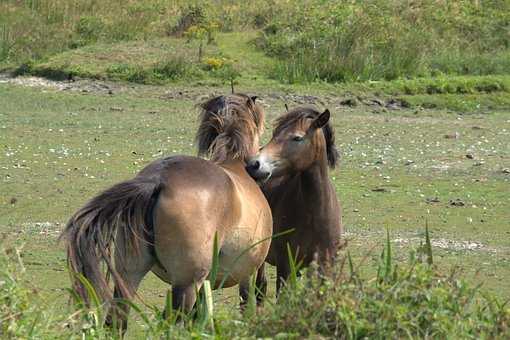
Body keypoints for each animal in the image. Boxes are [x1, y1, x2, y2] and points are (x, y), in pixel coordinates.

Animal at [61, 93, 272, 332]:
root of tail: (158, 180)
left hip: (128, 276)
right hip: (186, 285)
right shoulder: (251, 273)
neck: (235, 166)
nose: (260, 169)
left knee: (117, 321)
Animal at [246, 107, 342, 294]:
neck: (315, 215)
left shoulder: (326, 267)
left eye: (297, 138)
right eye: (275, 133)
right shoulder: (285, 266)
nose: (254, 165)